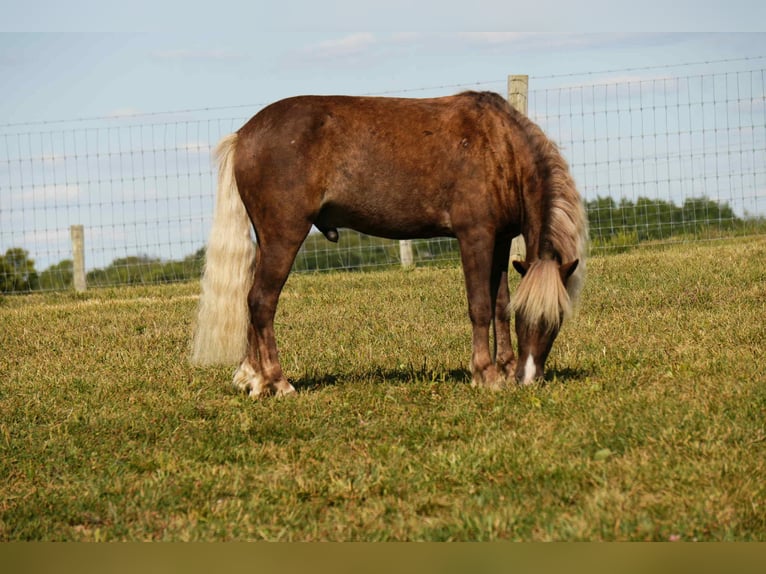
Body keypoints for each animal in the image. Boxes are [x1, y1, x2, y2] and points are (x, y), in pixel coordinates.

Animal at [191, 91, 587, 397]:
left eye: (556, 319)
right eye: (531, 318)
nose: (529, 378)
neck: (499, 147)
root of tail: (244, 134)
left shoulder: (501, 240)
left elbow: (500, 304)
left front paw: (503, 368)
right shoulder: (475, 235)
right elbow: (479, 306)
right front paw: (485, 374)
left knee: (250, 299)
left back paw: (254, 379)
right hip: (283, 235)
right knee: (262, 301)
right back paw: (278, 381)